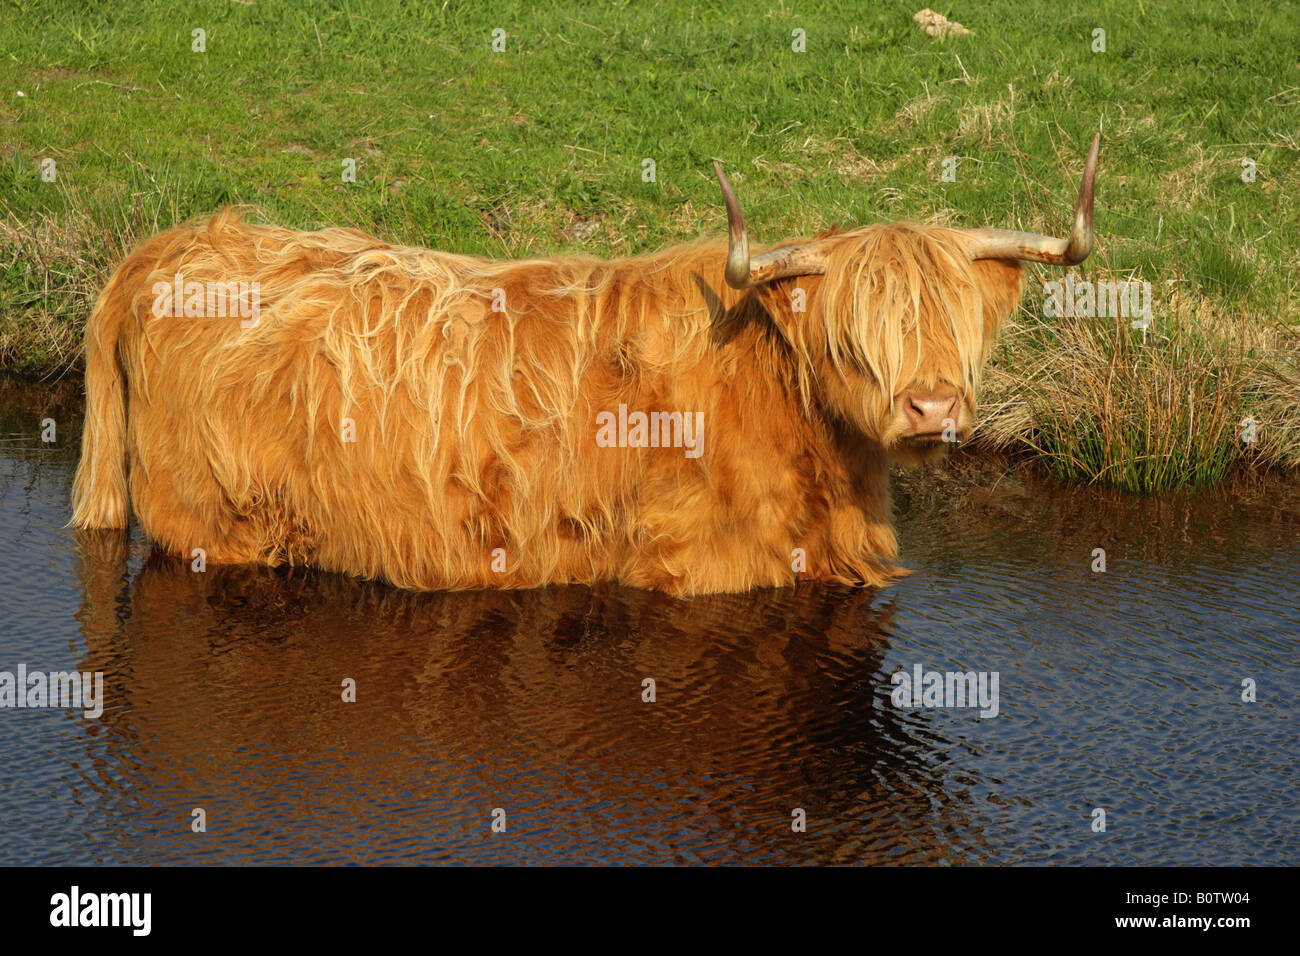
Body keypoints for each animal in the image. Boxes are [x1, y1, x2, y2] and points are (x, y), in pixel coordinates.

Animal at [70, 135, 1099, 596]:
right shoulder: (697, 571)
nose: (931, 407)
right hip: (219, 527)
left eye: (957, 329)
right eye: (852, 340)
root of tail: (168, 247)